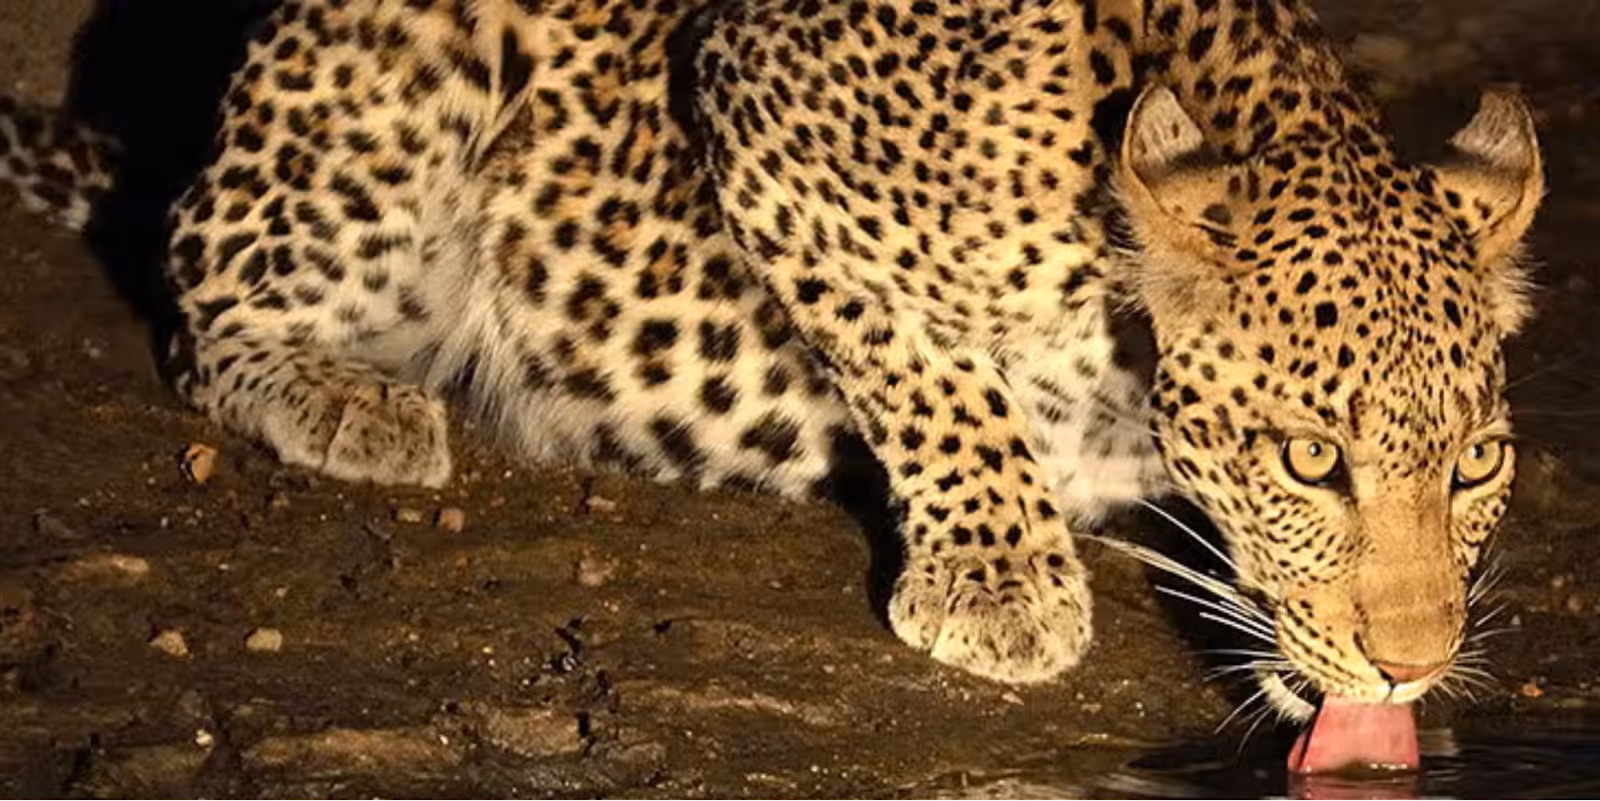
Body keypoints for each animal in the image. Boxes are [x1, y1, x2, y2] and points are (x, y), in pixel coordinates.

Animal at [0, 0, 1542, 720]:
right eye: (1308, 460)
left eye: (1476, 465)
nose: (1412, 669)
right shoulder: (763, 120)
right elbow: (930, 377)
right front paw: (1000, 583)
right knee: (202, 306)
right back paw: (347, 401)